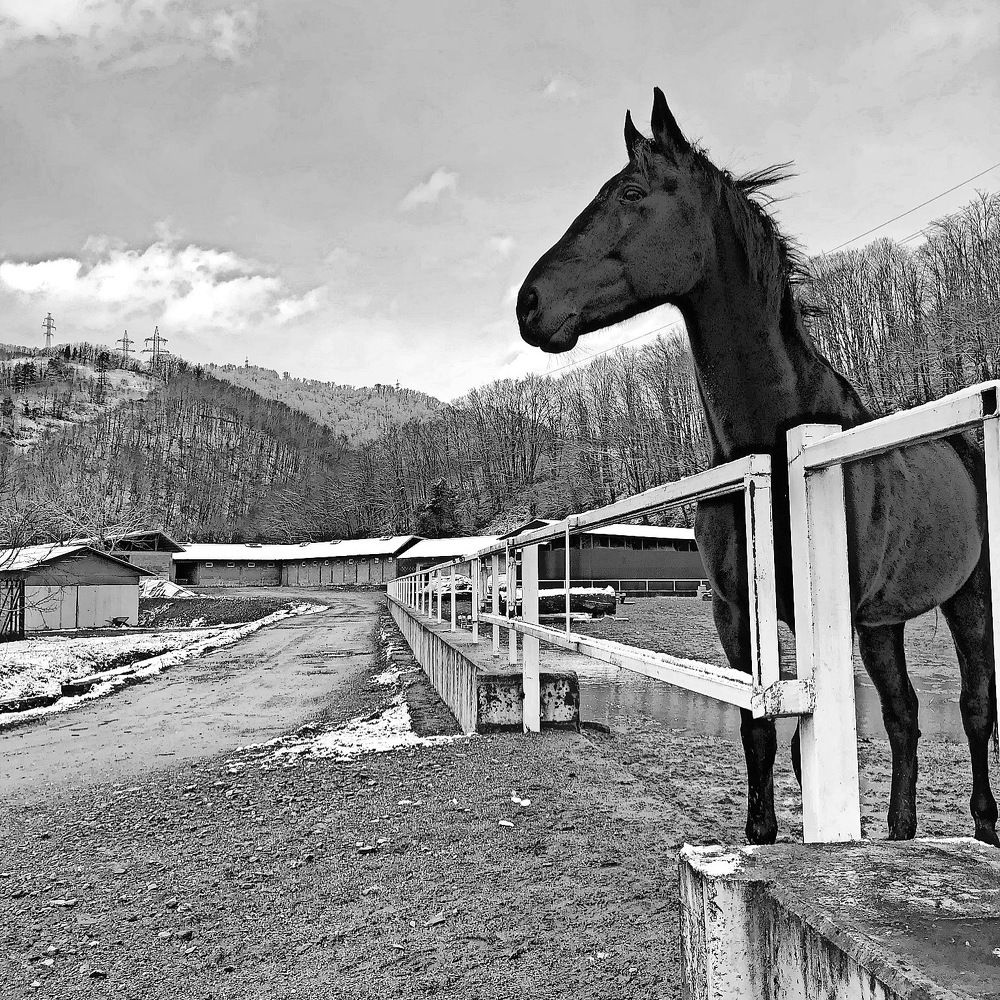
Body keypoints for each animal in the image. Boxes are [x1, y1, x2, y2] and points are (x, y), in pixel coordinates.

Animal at [515, 87, 998, 847]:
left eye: (631, 193)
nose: (529, 303)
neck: (771, 449)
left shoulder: (827, 619)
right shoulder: (739, 614)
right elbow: (762, 734)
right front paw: (762, 834)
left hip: (968, 598)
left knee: (976, 707)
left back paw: (983, 823)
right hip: (884, 623)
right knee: (905, 716)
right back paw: (900, 831)